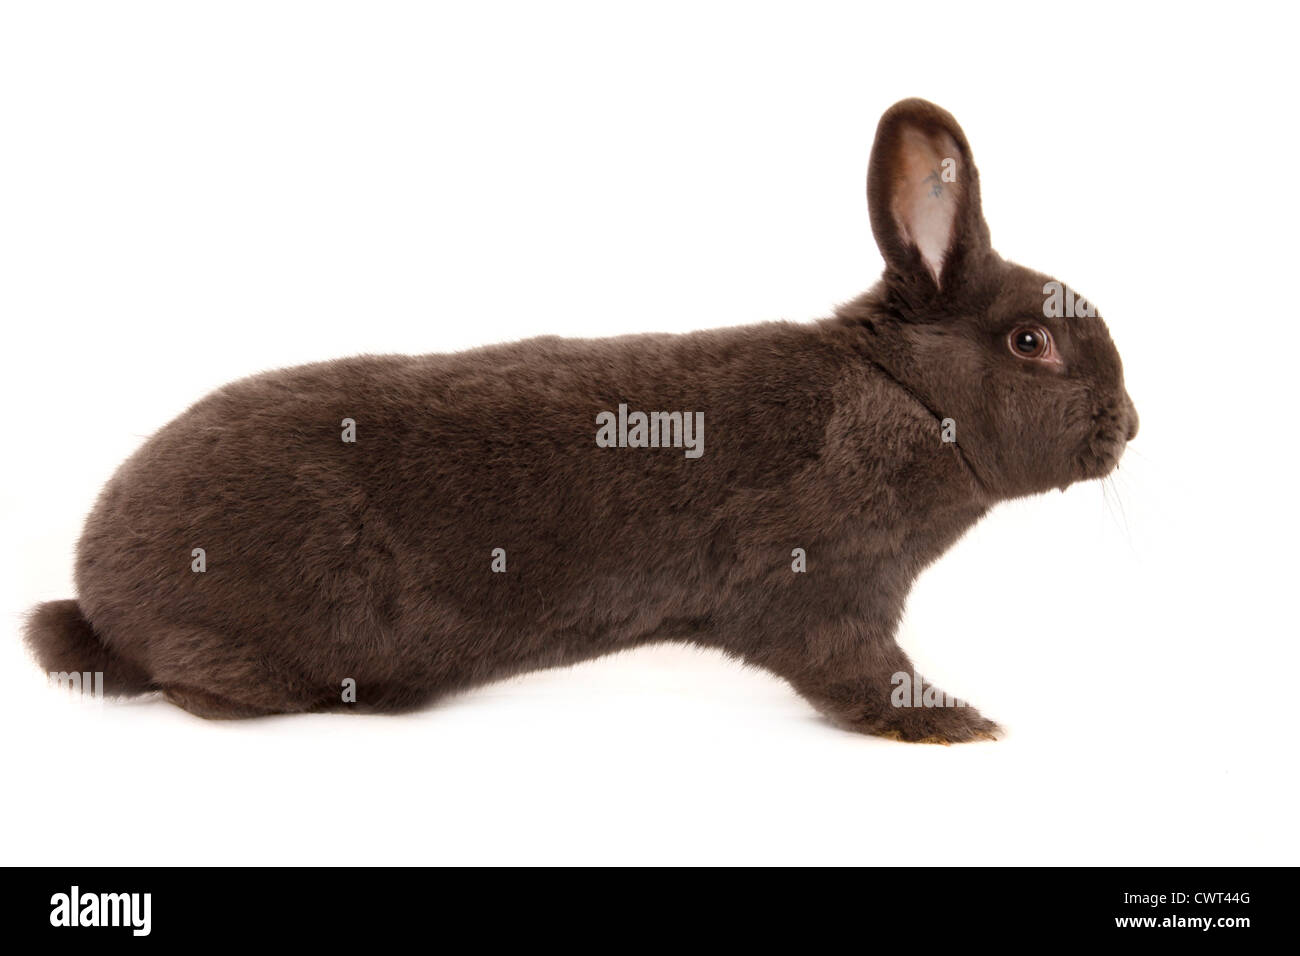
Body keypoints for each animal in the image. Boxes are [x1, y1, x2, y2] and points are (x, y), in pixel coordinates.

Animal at [25, 98, 1137, 742]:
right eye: (1031, 343)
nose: (1127, 426)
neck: (908, 396)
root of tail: (94, 592)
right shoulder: (825, 582)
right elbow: (861, 671)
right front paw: (953, 723)